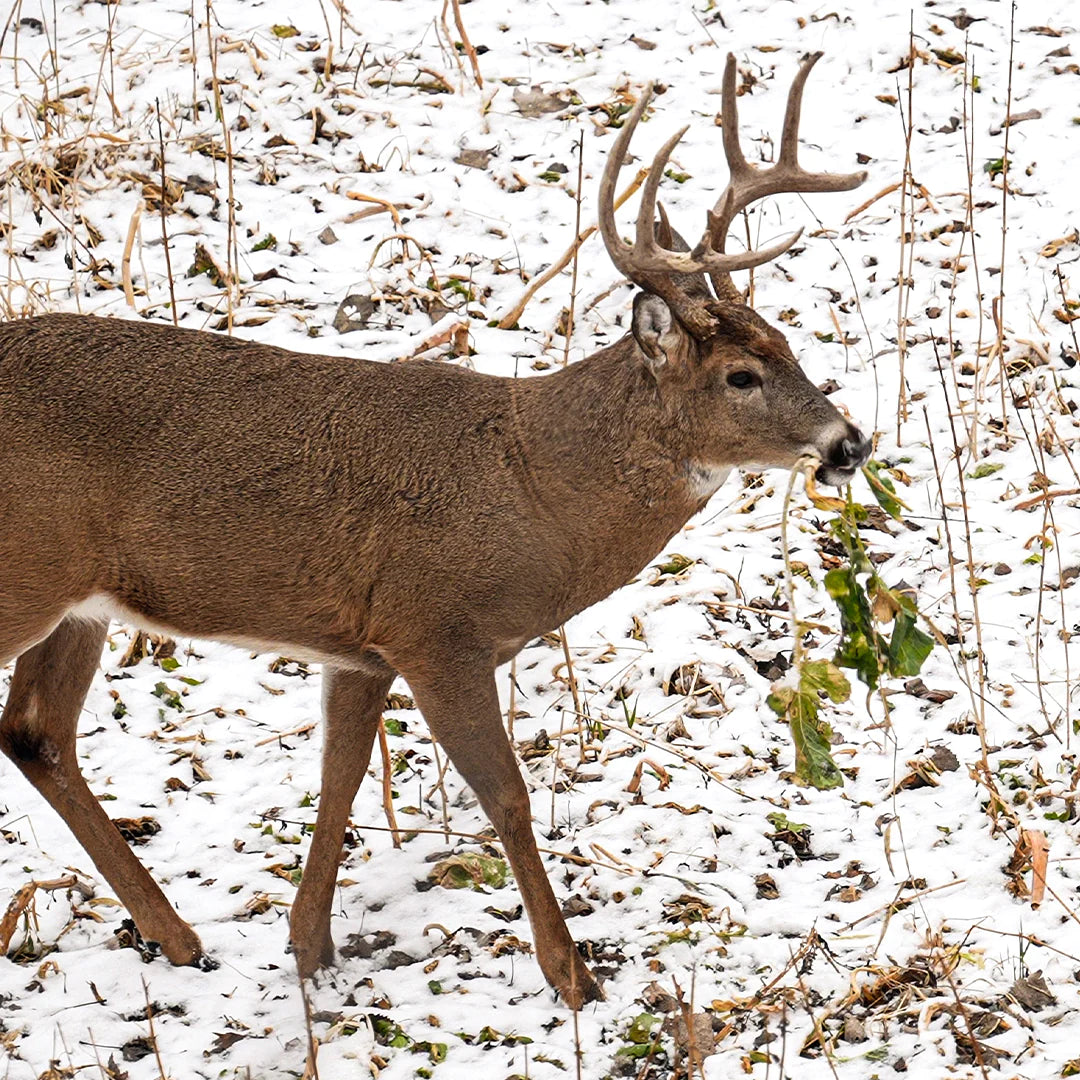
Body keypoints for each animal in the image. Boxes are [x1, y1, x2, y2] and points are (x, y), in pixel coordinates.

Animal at [0, 54, 868, 1006]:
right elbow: (508, 797)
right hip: (26, 574)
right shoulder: (437, 629)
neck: (531, 487)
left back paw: (181, 939)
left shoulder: (362, 645)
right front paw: (574, 977)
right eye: (742, 375)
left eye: (788, 342)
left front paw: (311, 954)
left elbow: (339, 784)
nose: (849, 443)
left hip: (81, 601)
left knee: (36, 732)